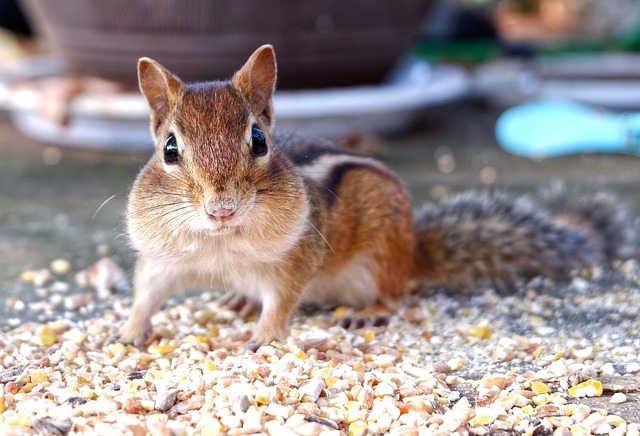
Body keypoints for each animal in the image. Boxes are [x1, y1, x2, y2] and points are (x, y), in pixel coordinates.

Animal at [116, 45, 631, 349]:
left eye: (259, 141)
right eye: (169, 149)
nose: (221, 208)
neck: (220, 242)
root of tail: (413, 249)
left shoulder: (293, 258)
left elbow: (282, 301)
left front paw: (262, 338)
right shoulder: (163, 259)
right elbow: (146, 292)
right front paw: (126, 332)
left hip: (381, 255)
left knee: (394, 296)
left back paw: (368, 314)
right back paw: (241, 301)